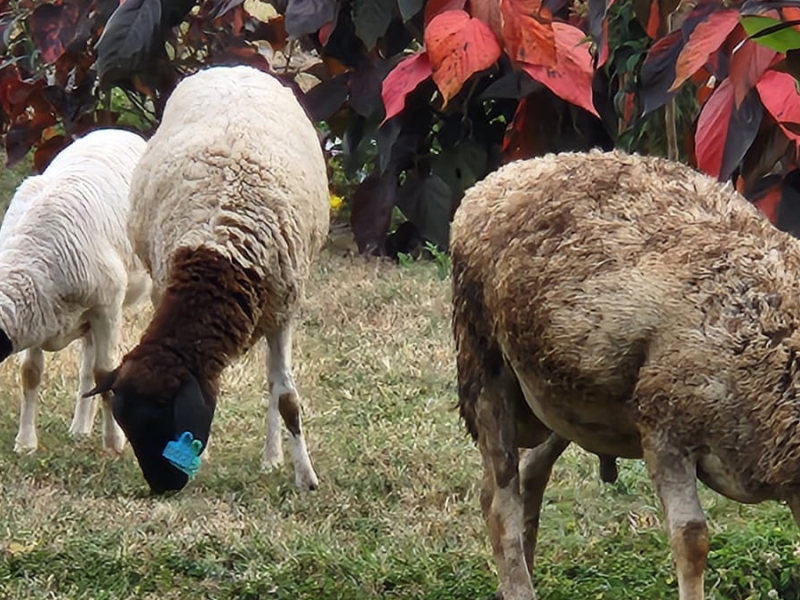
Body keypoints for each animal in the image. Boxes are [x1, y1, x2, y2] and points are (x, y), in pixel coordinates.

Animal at [0, 128, 150, 454]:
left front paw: (114, 442)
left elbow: (105, 373)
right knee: (86, 365)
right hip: (87, 318)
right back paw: (80, 428)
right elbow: (30, 373)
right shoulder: (39, 314)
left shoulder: (107, 308)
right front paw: (25, 443)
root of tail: (121, 131)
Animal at [86, 65, 330, 495]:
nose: (162, 487)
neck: (219, 257)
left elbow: (285, 397)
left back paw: (272, 457)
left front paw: (305, 477)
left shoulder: (283, 309)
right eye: (128, 429)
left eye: (165, 421)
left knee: (273, 385)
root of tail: (232, 66)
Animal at [450, 148, 800, 600]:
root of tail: (506, 174)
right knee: (499, 498)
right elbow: (692, 538)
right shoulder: (665, 430)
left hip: (564, 401)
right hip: (483, 363)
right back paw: (518, 586)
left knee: (528, 475)